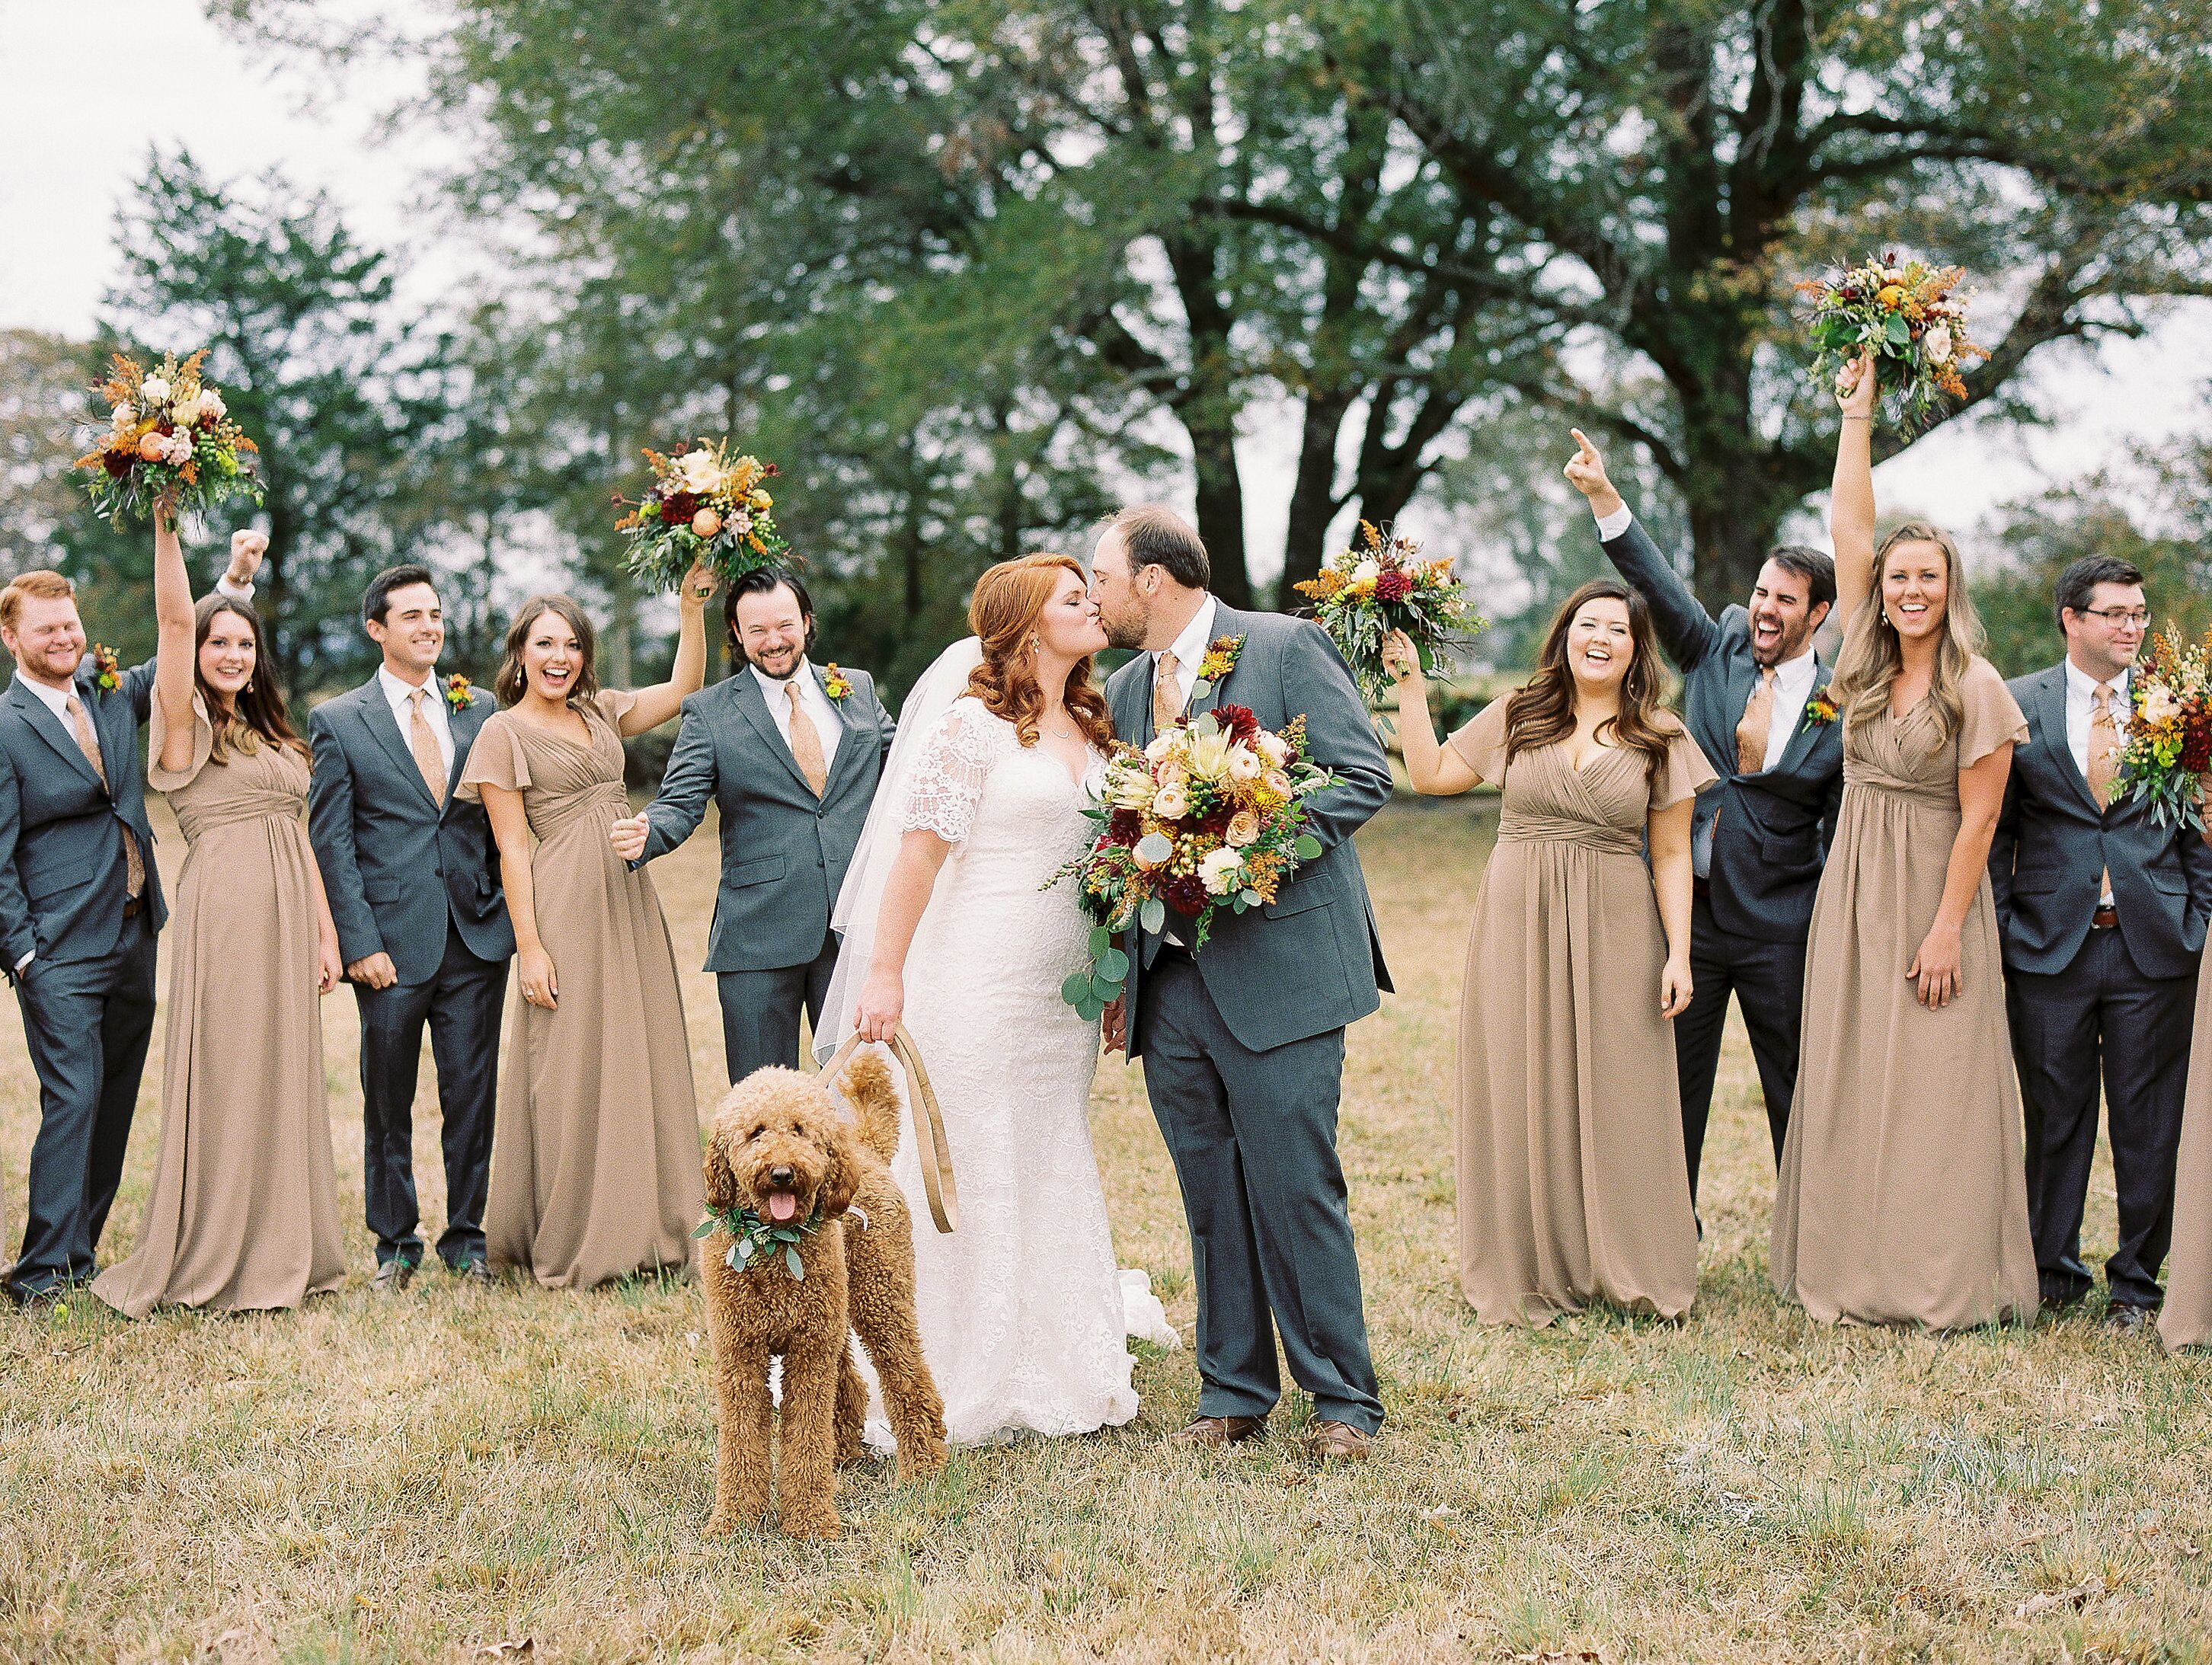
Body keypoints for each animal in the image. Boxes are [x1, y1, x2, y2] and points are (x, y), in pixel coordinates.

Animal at [703, 1052, 946, 1529]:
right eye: (756, 1131)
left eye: (800, 1130)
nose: (782, 1174)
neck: (774, 1244)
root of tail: (863, 1149)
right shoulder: (740, 1354)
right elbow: (742, 1439)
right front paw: (736, 1519)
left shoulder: (808, 1355)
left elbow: (805, 1437)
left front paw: (811, 1521)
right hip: (837, 1309)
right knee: (852, 1380)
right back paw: (845, 1454)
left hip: (880, 1298)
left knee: (908, 1378)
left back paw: (923, 1466)